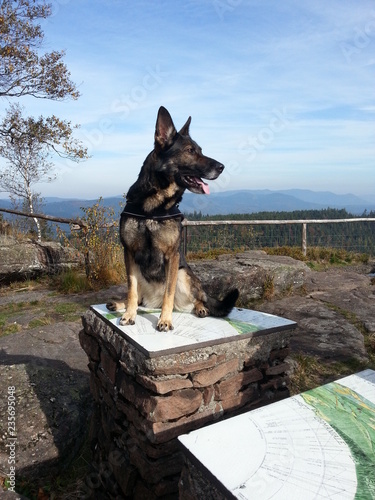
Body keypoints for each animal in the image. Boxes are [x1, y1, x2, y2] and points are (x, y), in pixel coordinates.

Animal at [107, 107, 239, 330]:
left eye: (200, 150)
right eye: (190, 151)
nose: (221, 167)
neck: (153, 207)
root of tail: (153, 301)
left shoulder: (173, 256)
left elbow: (168, 293)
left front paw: (165, 320)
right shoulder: (129, 253)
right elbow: (131, 290)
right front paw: (129, 314)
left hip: (184, 275)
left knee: (197, 298)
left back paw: (201, 308)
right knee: (139, 298)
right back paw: (119, 304)